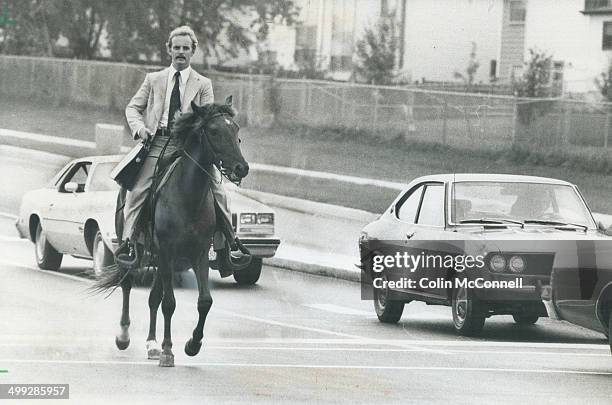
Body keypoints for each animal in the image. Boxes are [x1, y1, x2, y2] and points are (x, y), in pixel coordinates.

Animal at [94, 98, 247, 366]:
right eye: (214, 131)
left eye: (236, 130)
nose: (242, 168)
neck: (189, 196)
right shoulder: (167, 251)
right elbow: (169, 303)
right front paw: (168, 350)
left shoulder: (197, 254)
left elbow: (204, 301)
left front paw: (192, 344)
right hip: (135, 248)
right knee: (127, 284)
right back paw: (125, 336)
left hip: (161, 258)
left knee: (153, 296)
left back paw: (152, 343)